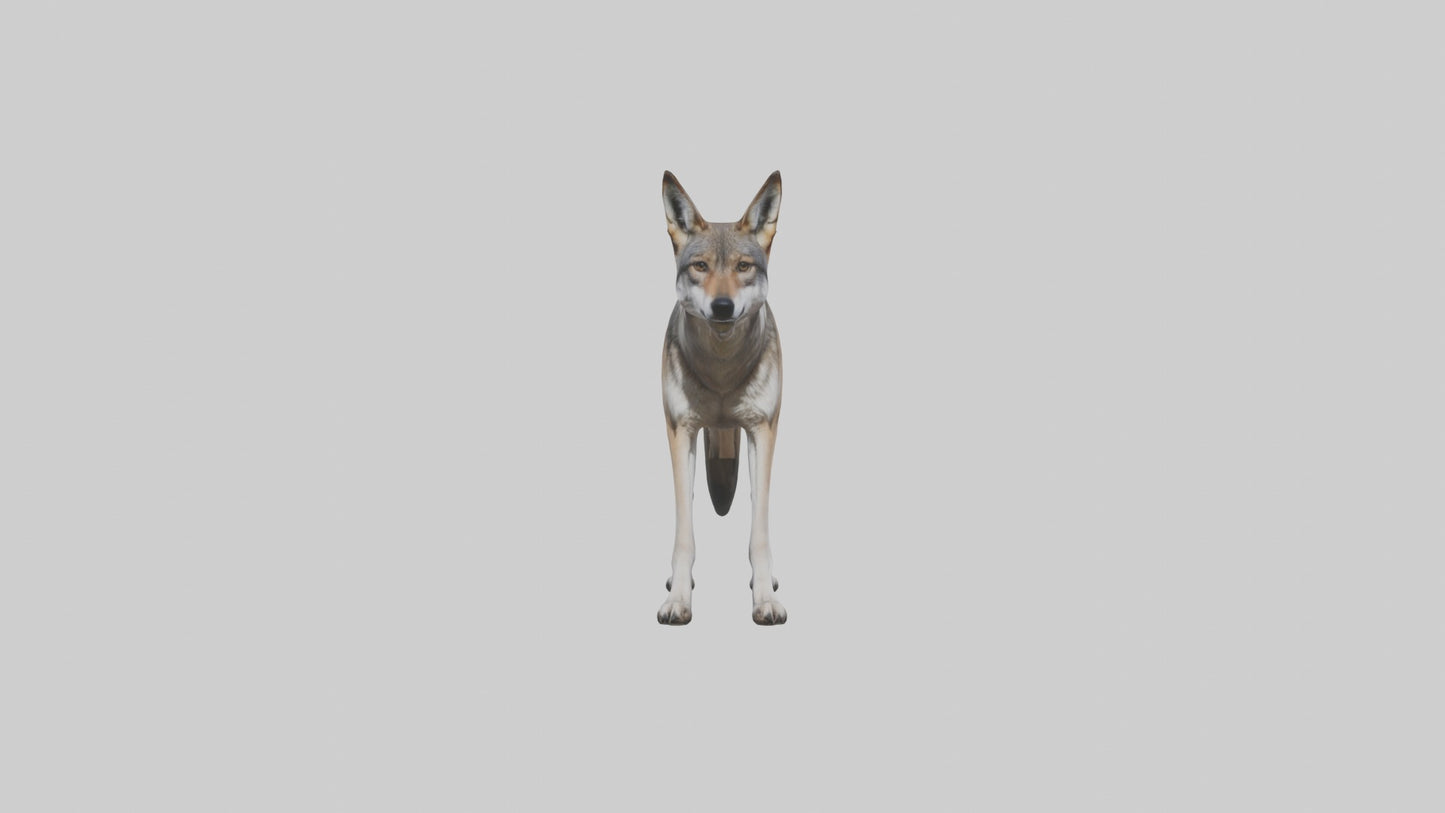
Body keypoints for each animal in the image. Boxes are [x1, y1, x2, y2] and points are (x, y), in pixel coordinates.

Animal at [657, 170, 787, 626]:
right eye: (701, 267)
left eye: (742, 267)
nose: (723, 306)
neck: (721, 374)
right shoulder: (680, 432)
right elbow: (684, 534)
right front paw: (678, 599)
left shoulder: (762, 431)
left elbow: (760, 533)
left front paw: (765, 600)